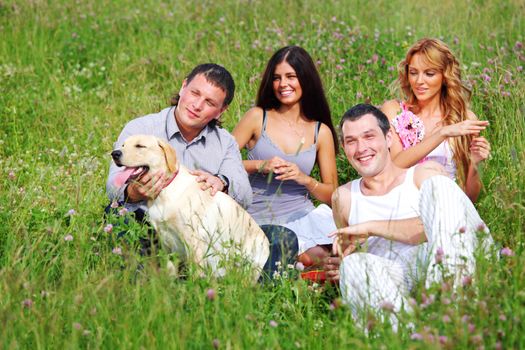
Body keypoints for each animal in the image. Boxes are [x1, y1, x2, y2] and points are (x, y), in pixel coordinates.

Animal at [109, 135, 268, 280]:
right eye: (123, 145)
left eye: (140, 146)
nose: (115, 153)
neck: (165, 191)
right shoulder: (166, 242)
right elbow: (170, 270)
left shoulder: (193, 240)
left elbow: (196, 274)